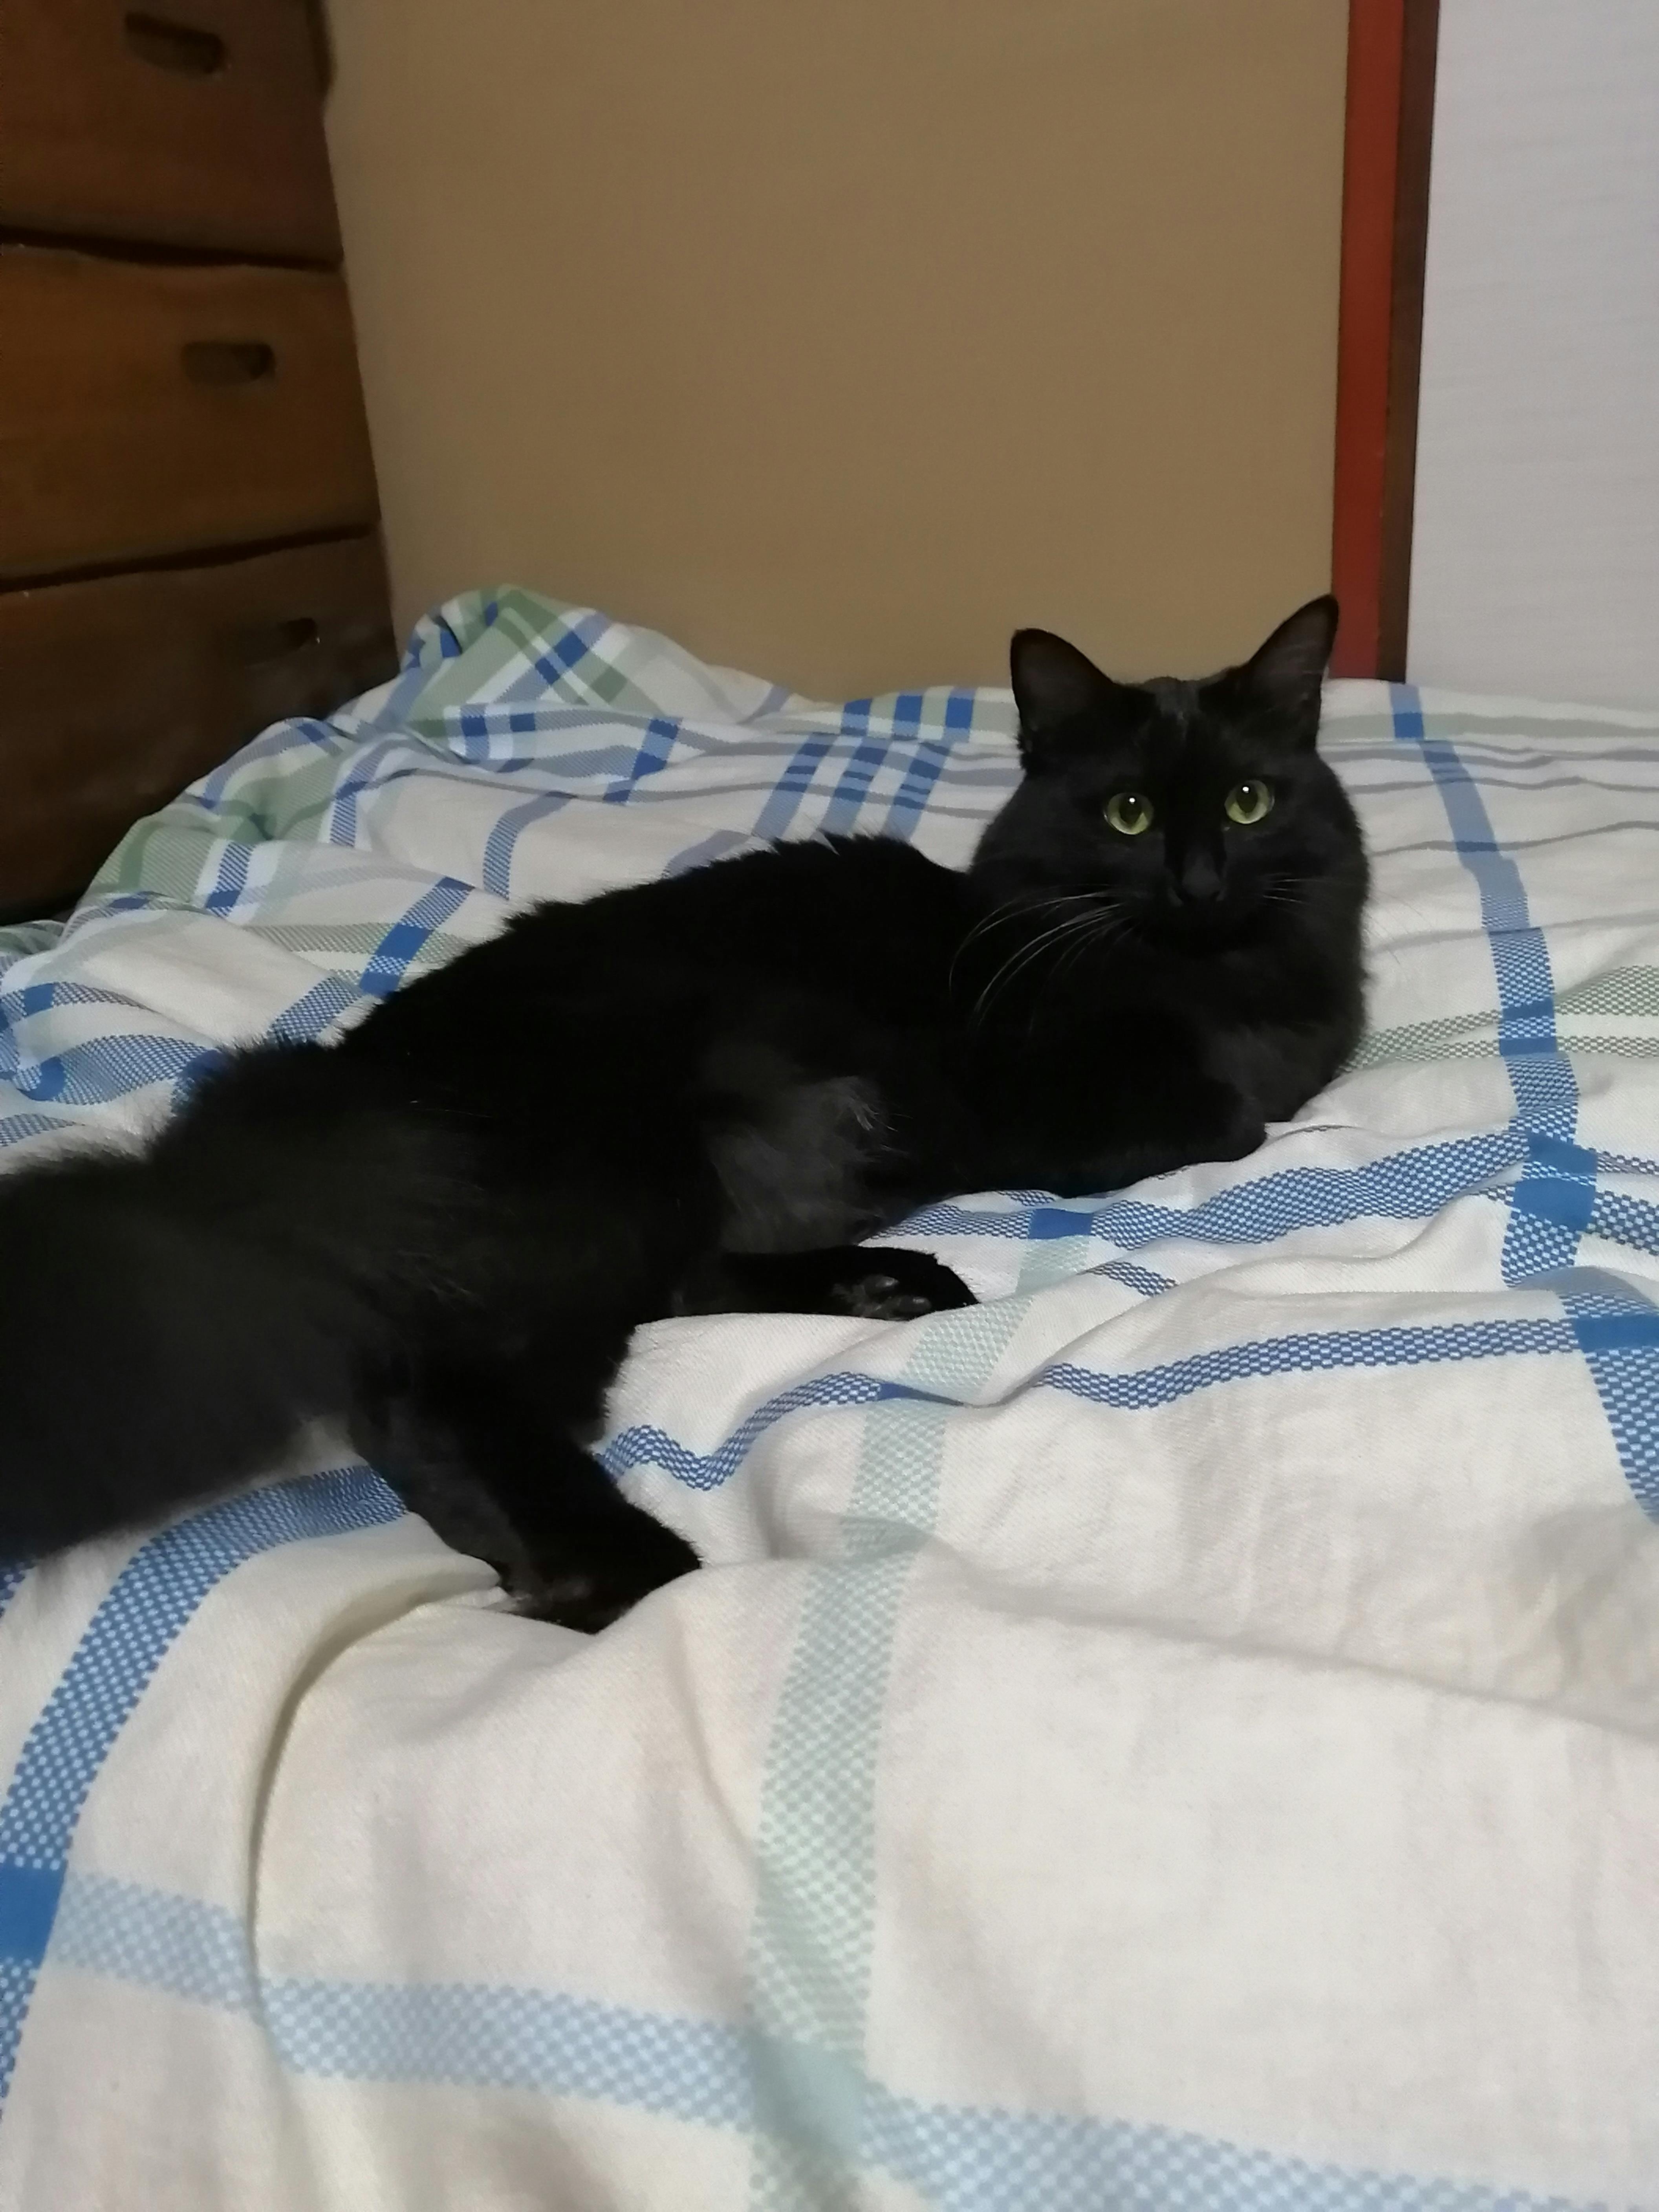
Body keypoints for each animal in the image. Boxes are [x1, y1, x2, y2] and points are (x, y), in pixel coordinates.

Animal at [0, 594, 1366, 1628]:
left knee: (677, 1288)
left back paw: (890, 1285)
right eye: (1128, 813)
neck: (1209, 976)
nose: (1201, 882)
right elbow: (1233, 1113)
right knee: (429, 1394)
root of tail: (314, 1103)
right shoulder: (1049, 1100)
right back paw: (615, 1574)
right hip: (599, 1179)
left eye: (1247, 803)